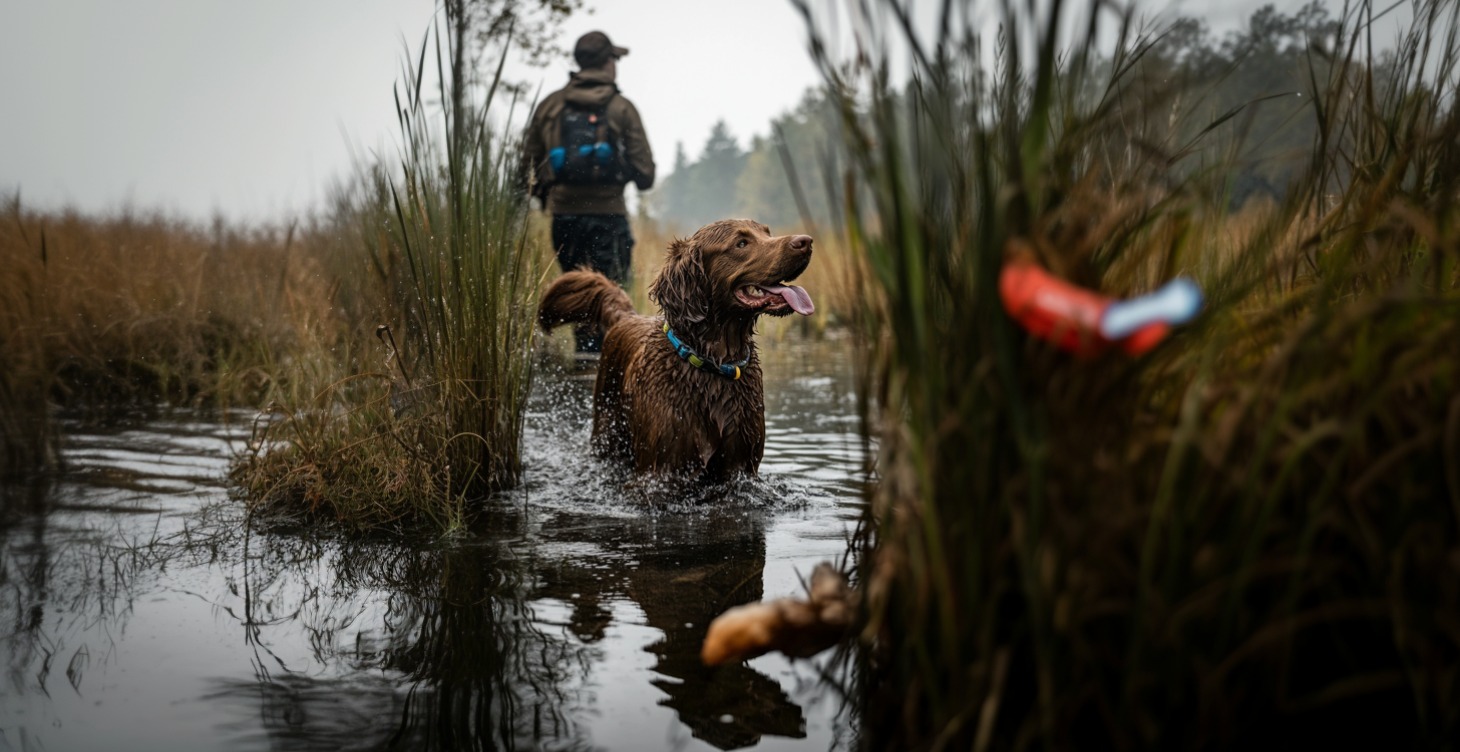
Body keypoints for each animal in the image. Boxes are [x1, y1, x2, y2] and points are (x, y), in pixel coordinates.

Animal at [540, 219, 817, 481]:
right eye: (741, 243)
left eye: (767, 233)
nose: (806, 241)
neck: (713, 365)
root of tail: (627, 316)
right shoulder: (660, 470)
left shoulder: (740, 467)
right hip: (607, 433)